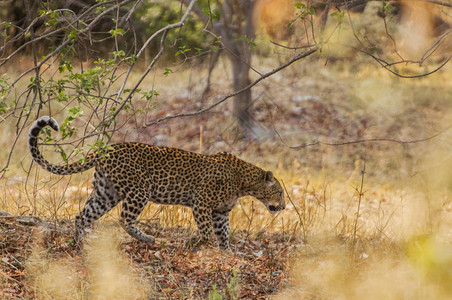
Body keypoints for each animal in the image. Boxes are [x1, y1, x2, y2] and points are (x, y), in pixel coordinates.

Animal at [28, 116, 284, 250]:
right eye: (281, 193)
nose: (282, 207)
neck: (245, 182)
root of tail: (106, 149)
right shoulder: (201, 204)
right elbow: (207, 231)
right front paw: (194, 244)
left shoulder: (221, 212)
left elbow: (224, 233)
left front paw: (226, 253)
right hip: (139, 191)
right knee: (124, 218)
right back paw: (149, 238)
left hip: (105, 193)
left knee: (82, 216)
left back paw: (81, 244)